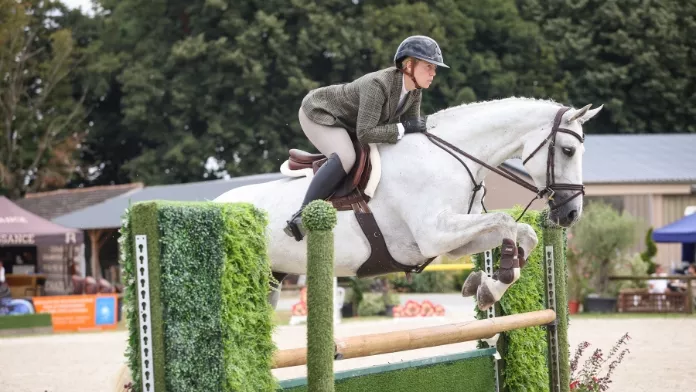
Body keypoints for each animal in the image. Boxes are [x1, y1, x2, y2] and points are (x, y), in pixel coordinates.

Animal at [215, 96, 600, 310]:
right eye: (568, 150)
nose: (571, 214)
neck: (451, 158)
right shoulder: (434, 235)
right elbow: (506, 222)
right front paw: (491, 284)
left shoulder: (453, 240)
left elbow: (524, 233)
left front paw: (486, 284)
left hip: (272, 279)